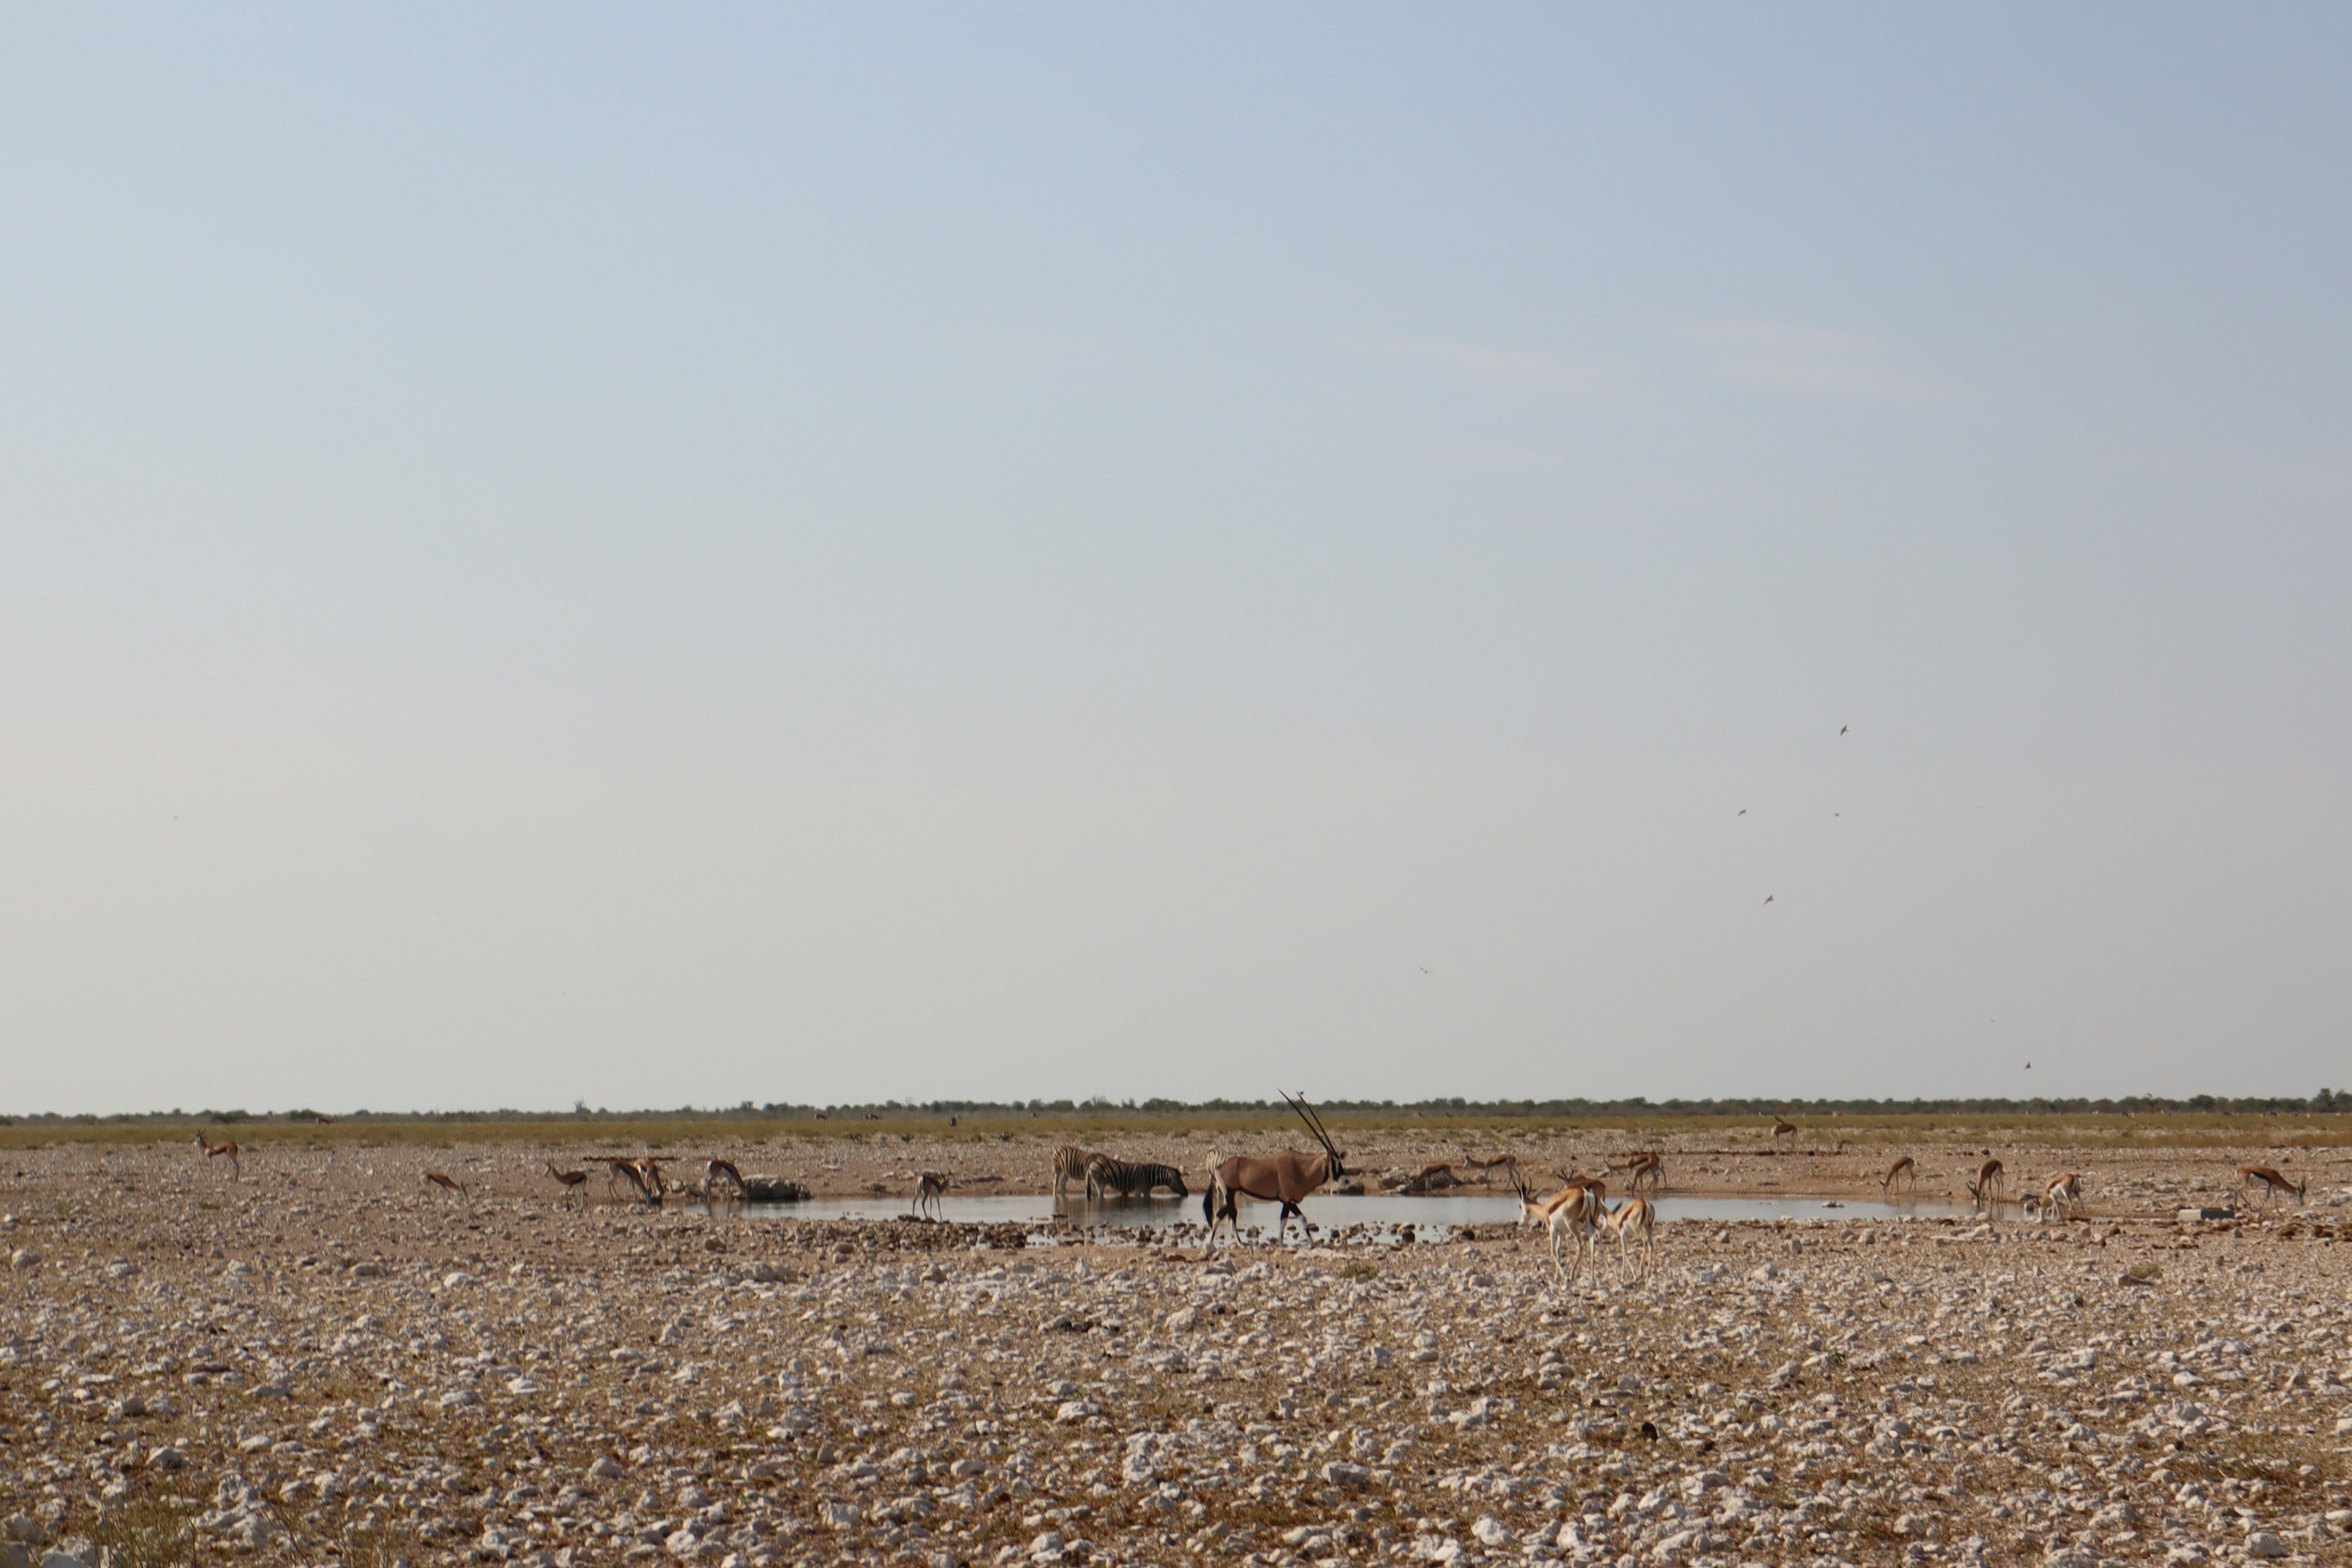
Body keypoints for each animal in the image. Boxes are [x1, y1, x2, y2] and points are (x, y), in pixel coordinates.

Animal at [1087, 1152, 1194, 1204]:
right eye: (1179, 1181)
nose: (1187, 1193)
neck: (1150, 1177)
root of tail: (1092, 1163)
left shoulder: (1147, 1190)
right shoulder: (1138, 1189)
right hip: (1099, 1182)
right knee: (1100, 1194)